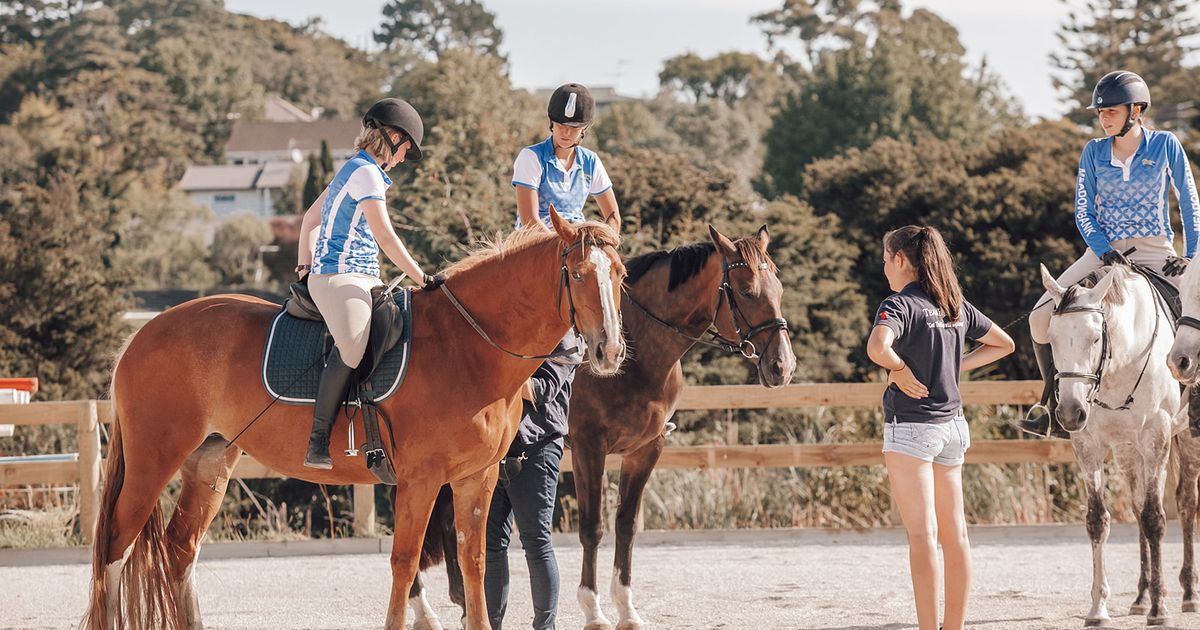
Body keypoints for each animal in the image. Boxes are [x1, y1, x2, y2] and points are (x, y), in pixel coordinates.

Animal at [80, 209, 627, 630]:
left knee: (179, 551)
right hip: (152, 465)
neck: (469, 344)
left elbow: (473, 564)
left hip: (210, 462)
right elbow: (405, 563)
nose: (609, 350)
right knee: (115, 548)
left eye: (620, 275)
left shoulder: (478, 477)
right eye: (579, 274)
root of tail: (143, 334)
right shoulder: (421, 480)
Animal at [408, 224, 796, 630]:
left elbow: (626, 524)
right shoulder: (589, 448)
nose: (782, 366)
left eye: (779, 289)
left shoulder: (646, 449)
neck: (639, 358)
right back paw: (424, 610)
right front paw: (593, 610)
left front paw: (626, 608)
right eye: (746, 291)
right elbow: (592, 527)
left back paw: (460, 602)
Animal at [1040, 263, 1184, 626]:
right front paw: (1097, 609)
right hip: (1127, 452)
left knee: (1186, 503)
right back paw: (1141, 598)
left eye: (1095, 337)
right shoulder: (1088, 445)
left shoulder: (1156, 438)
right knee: (1136, 507)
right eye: (1052, 338)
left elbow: (1155, 519)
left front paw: (1160, 610)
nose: (1070, 412)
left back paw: (1188, 594)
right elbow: (1098, 520)